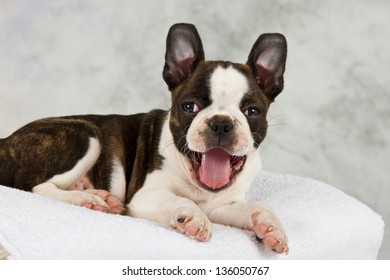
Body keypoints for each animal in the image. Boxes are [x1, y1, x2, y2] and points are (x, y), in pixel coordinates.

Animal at [0, 22, 286, 254]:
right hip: (86, 135)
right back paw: (86, 201)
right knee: (38, 188)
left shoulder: (222, 205)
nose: (221, 123)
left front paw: (270, 226)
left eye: (252, 112)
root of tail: (5, 141)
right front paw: (192, 217)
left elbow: (257, 206)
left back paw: (102, 198)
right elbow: (180, 199)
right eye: (189, 106)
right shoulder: (145, 195)